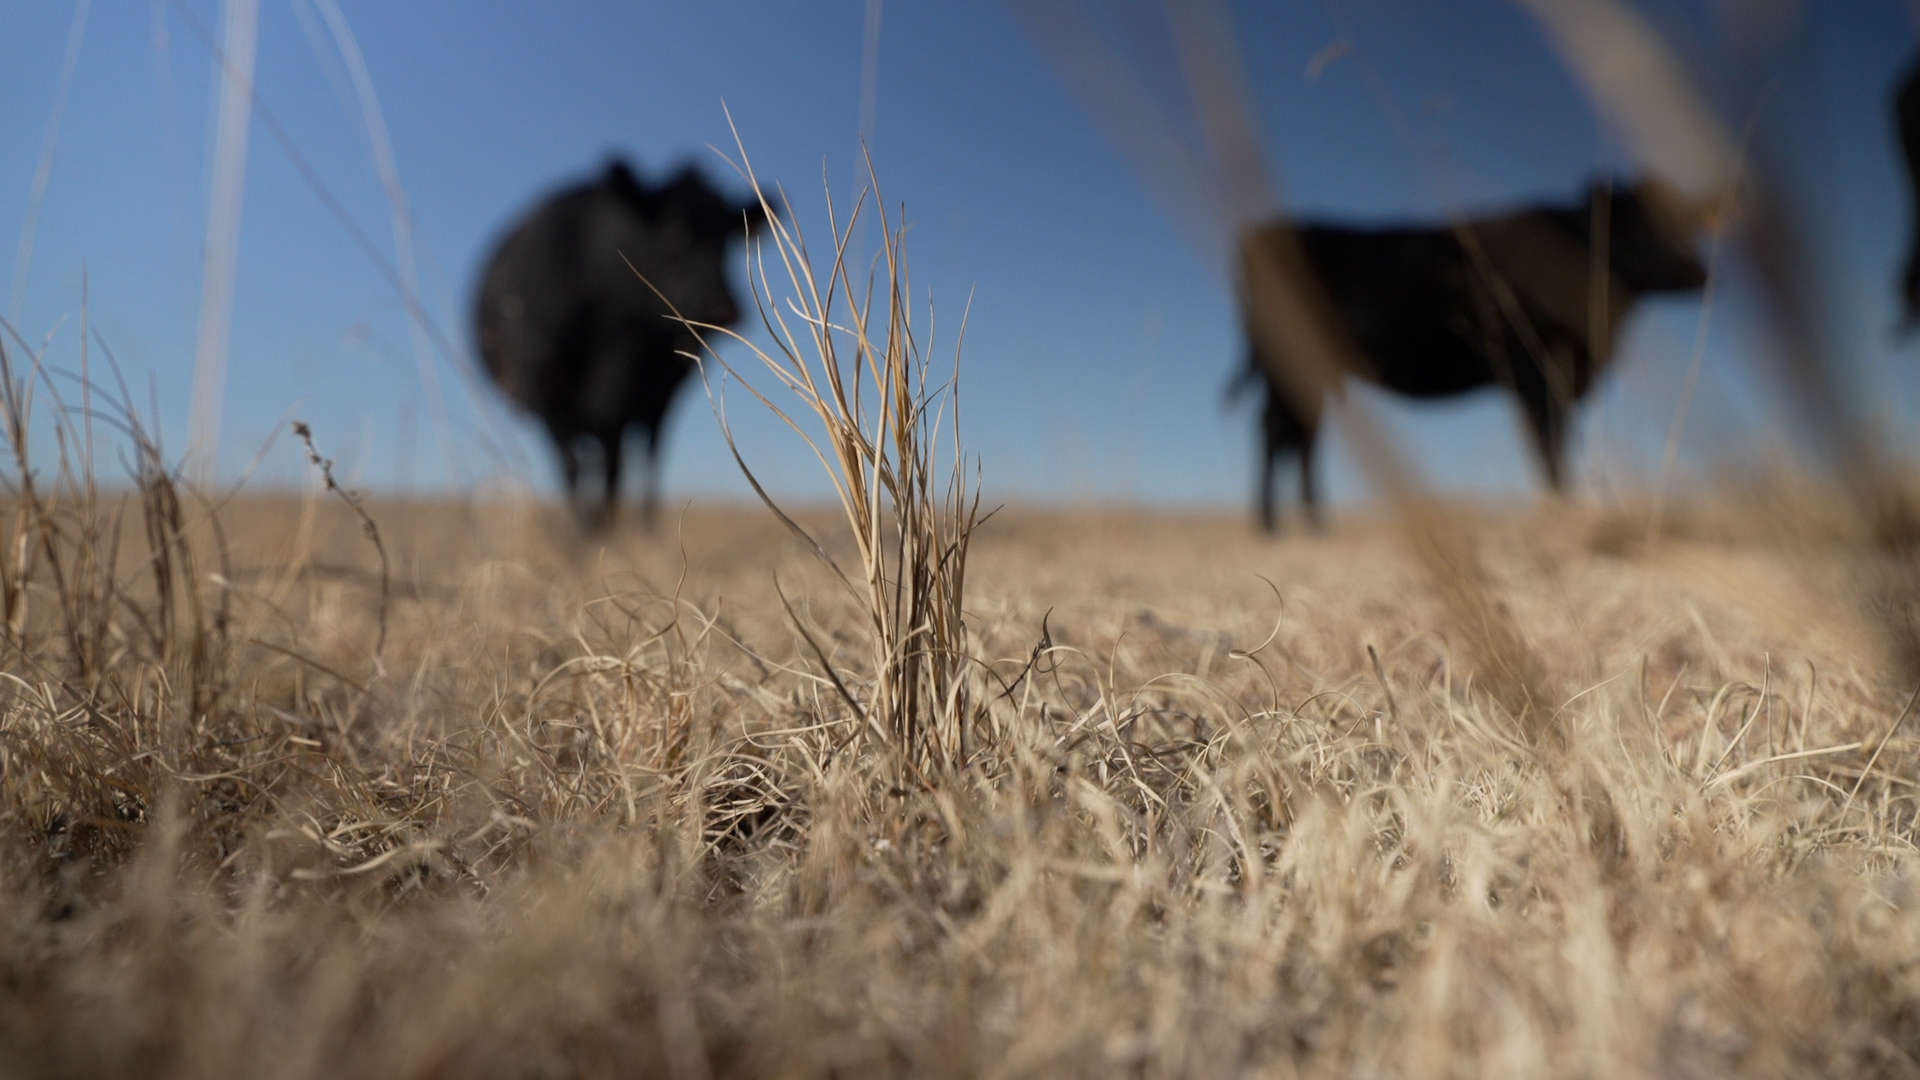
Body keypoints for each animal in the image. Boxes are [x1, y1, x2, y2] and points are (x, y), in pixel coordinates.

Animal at [475, 158, 766, 531]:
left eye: (729, 237)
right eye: (673, 229)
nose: (723, 306)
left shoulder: (654, 396)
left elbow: (633, 462)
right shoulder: (545, 390)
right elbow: (573, 465)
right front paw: (584, 532)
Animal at [1236, 178, 1708, 532]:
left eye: (1679, 223)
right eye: (1631, 223)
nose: (1699, 270)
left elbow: (1554, 443)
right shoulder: (1535, 373)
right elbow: (1549, 446)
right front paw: (1561, 509)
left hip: (1312, 371)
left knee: (1302, 434)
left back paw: (1313, 523)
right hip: (1283, 362)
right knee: (1276, 432)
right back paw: (1271, 526)